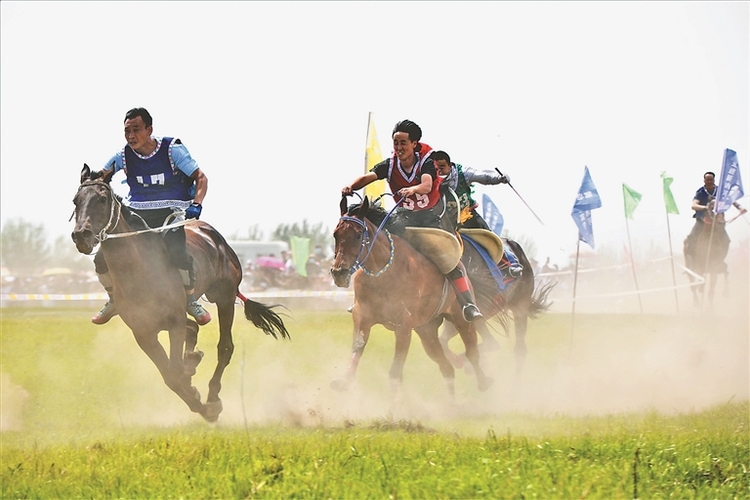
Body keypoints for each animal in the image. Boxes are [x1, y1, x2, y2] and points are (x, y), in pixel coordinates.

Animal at [70, 165, 290, 422]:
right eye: (76, 200)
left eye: (102, 199)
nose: (81, 235)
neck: (138, 270)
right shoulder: (143, 332)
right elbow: (169, 375)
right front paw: (193, 390)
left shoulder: (174, 322)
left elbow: (175, 370)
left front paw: (204, 402)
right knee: (193, 329)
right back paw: (193, 362)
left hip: (224, 296)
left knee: (224, 347)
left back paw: (212, 394)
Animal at [328, 197, 494, 396]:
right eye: (336, 234)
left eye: (358, 235)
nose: (339, 273)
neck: (383, 273)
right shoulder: (362, 315)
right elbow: (358, 345)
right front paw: (344, 381)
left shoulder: (403, 326)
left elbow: (395, 372)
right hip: (426, 330)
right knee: (446, 368)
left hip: (461, 321)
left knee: (472, 352)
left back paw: (483, 382)